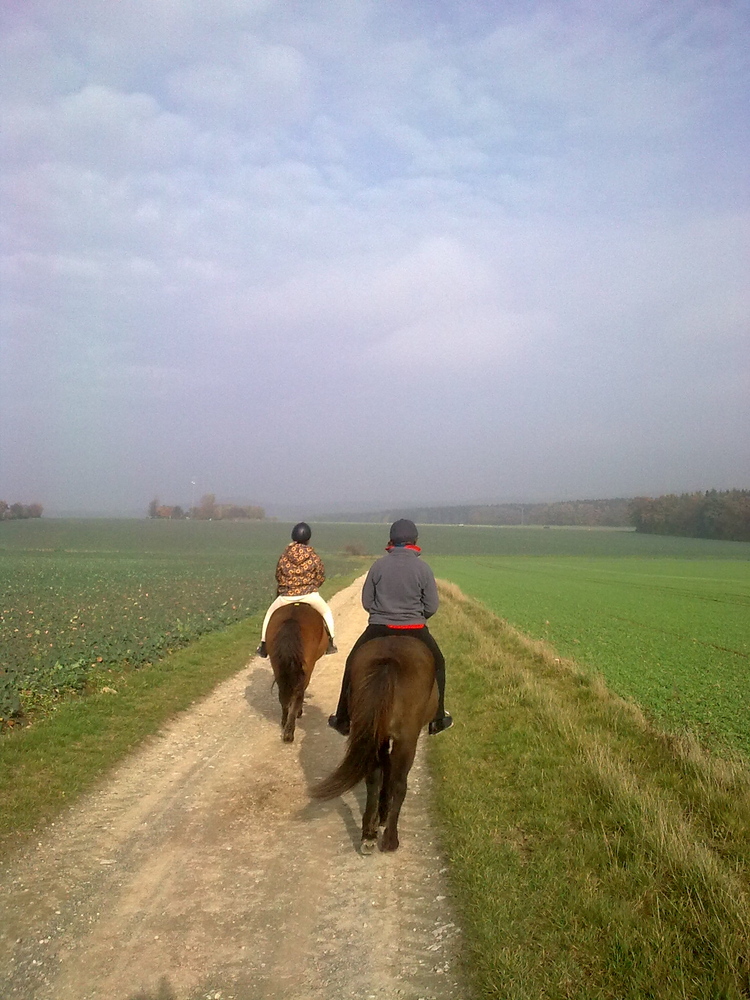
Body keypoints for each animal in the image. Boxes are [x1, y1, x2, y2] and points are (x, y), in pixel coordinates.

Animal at [268, 600, 330, 744]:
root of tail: (292, 619)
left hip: (276, 665)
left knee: (283, 694)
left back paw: (285, 723)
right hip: (307, 668)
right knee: (298, 693)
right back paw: (290, 732)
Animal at [312, 636, 440, 856]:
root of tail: (389, 661)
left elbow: (382, 770)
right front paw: (384, 815)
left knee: (372, 777)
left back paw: (369, 835)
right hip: (407, 740)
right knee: (399, 782)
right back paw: (390, 840)